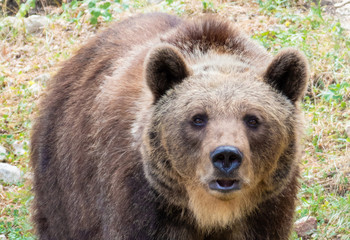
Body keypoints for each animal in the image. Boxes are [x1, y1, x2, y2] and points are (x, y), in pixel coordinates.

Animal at [30, 12, 308, 240]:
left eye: (253, 119)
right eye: (198, 118)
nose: (226, 156)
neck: (210, 213)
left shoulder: (267, 209)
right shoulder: (142, 202)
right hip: (65, 188)